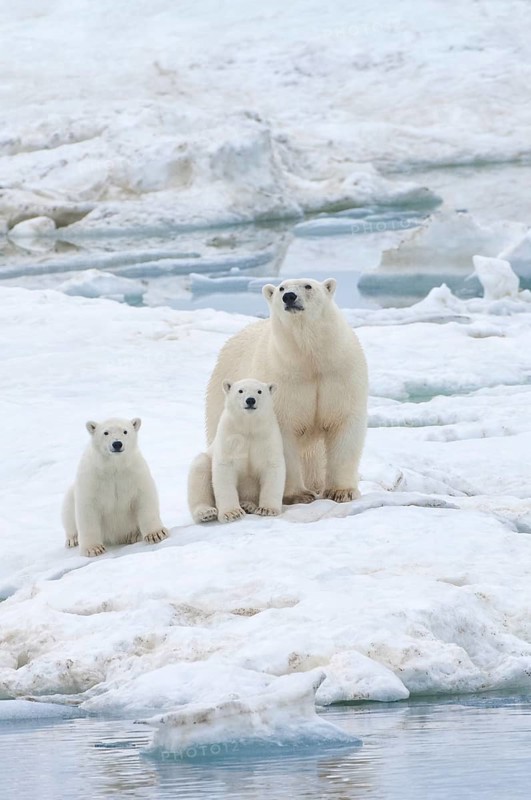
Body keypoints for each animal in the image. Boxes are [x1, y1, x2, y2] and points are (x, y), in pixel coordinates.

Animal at [62, 417, 168, 557]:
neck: (114, 467)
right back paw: (73, 539)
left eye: (125, 431)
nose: (117, 444)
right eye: (105, 432)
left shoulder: (135, 473)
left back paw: (133, 535)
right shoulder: (91, 479)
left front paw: (156, 534)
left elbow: (144, 498)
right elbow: (88, 510)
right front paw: (94, 549)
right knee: (68, 508)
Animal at [188, 378, 286, 523]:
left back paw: (248, 505)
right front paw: (232, 513)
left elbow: (272, 467)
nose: (250, 400)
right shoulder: (230, 437)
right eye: (240, 390)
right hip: (205, 460)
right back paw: (206, 512)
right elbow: (224, 470)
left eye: (259, 391)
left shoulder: (267, 437)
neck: (248, 427)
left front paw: (267, 510)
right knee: (200, 470)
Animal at [205, 278, 368, 505]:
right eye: (281, 288)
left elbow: (343, 423)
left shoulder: (340, 374)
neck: (309, 359)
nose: (289, 297)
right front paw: (297, 495)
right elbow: (283, 433)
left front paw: (341, 491)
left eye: (308, 286)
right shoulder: (284, 379)